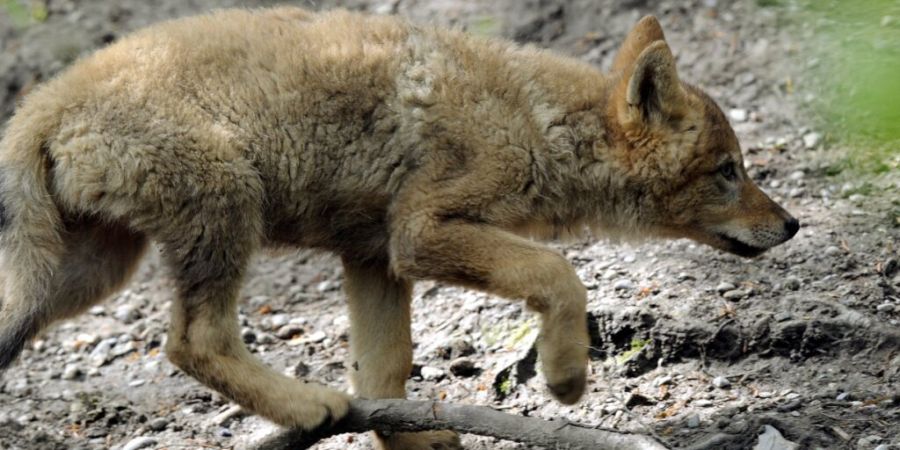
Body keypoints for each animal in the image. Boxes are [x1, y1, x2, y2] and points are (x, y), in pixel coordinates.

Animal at [0, 7, 798, 449]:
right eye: (729, 170)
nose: (790, 224)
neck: (537, 123)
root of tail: (45, 100)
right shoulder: (419, 234)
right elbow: (560, 274)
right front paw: (566, 378)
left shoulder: (374, 258)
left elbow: (386, 374)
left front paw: (412, 437)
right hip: (224, 212)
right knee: (194, 341)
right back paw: (309, 406)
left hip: (85, 276)